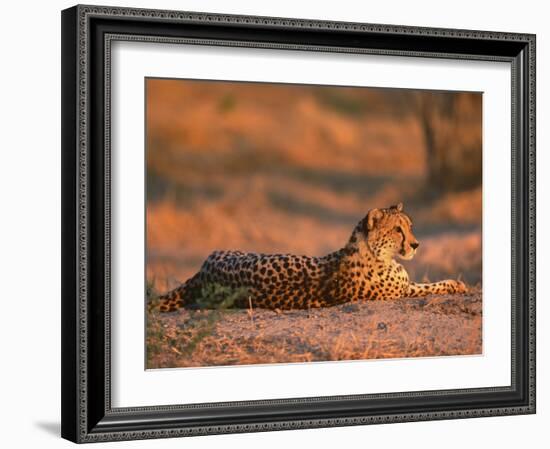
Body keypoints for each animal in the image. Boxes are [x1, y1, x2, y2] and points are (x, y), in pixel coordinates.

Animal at [153, 203, 468, 312]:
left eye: (410, 226)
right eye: (397, 230)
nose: (416, 244)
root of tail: (204, 269)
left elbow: (428, 284)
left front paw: (457, 283)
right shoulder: (401, 291)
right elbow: (431, 286)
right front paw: (458, 284)